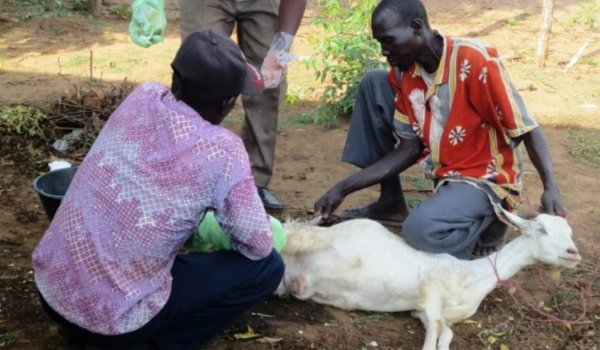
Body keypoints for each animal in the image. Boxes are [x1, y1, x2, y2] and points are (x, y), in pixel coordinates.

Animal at [278, 211, 580, 350]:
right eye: (541, 229)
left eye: (569, 231)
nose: (573, 253)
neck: (469, 277)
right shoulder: (431, 292)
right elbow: (433, 336)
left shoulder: (423, 311)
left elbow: (446, 334)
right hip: (311, 236)